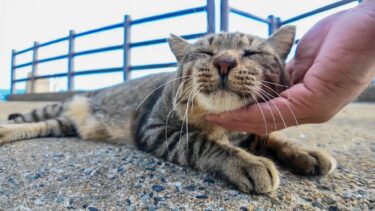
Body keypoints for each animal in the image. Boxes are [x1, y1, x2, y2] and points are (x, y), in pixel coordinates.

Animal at [0, 26, 338, 193]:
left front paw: (304, 152)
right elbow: (202, 144)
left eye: (252, 52)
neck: (220, 123)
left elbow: (271, 138)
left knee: (46, 126)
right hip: (62, 104)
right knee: (32, 119)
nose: (224, 62)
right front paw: (247, 163)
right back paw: (5, 129)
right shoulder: (155, 129)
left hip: (64, 124)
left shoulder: (247, 127)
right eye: (205, 51)